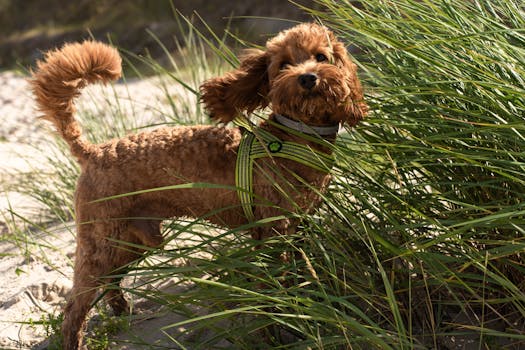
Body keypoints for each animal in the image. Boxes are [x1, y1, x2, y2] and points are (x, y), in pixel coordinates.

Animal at [30, 23, 366, 348]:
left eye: (321, 57)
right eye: (283, 64)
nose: (308, 78)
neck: (296, 136)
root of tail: (93, 152)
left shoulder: (299, 224)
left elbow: (297, 269)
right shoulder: (273, 230)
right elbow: (271, 285)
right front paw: (274, 330)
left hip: (133, 239)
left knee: (110, 280)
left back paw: (122, 311)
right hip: (101, 240)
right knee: (74, 307)